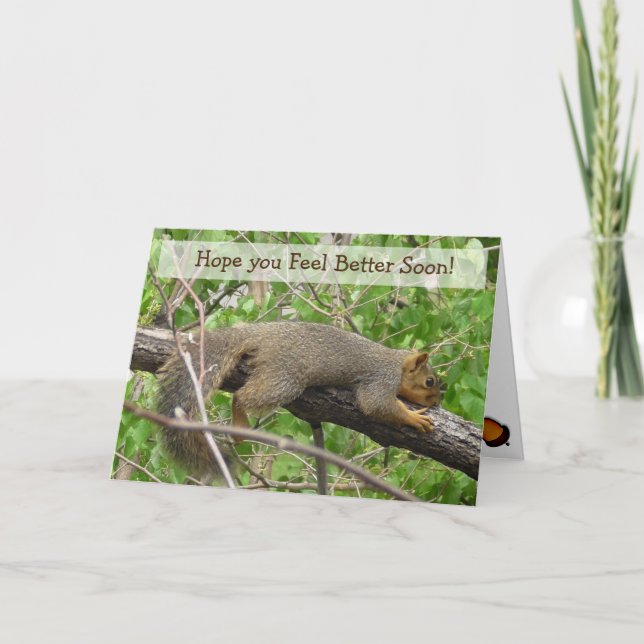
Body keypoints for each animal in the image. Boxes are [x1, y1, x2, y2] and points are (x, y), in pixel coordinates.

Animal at [157, 321, 441, 476]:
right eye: (430, 381)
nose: (436, 402)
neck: (396, 362)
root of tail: (259, 334)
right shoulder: (381, 379)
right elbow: (375, 403)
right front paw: (414, 417)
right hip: (285, 376)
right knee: (242, 395)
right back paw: (239, 424)